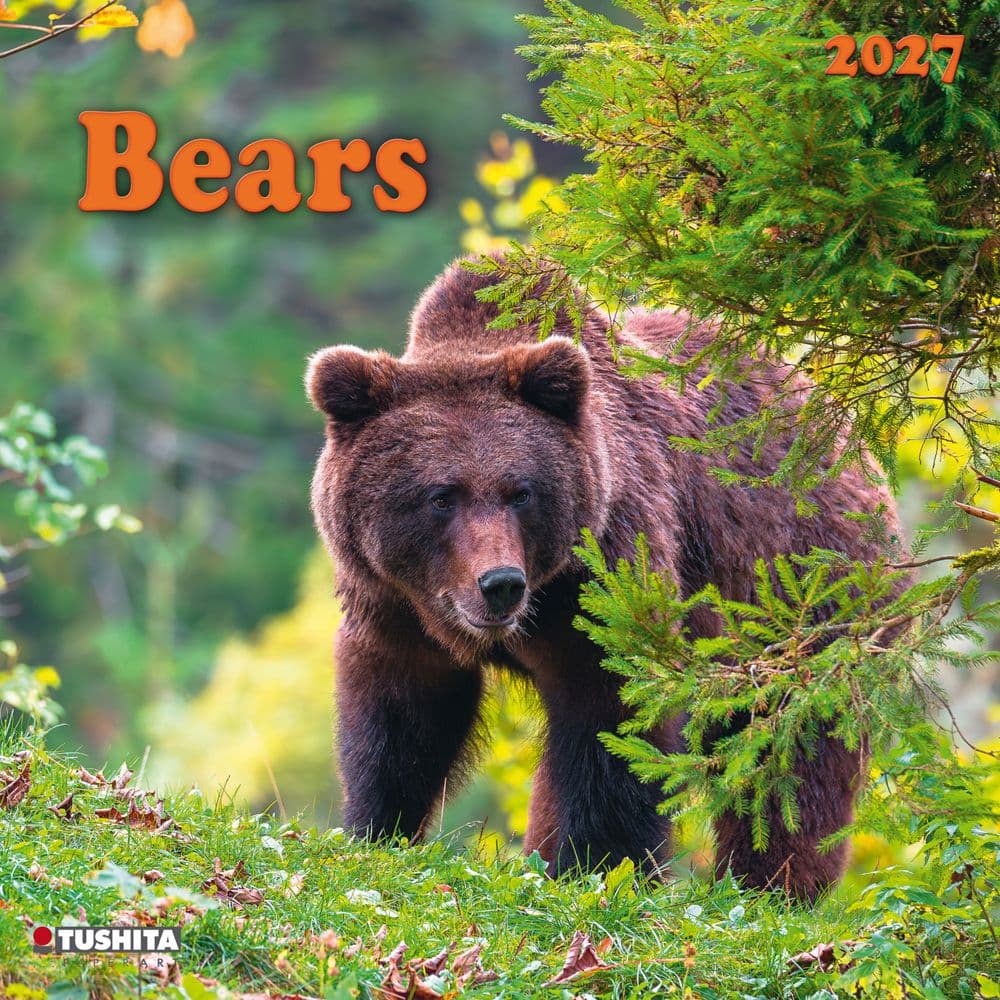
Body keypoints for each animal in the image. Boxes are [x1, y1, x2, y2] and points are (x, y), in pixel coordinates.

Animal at [306, 255, 903, 900]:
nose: (500, 583)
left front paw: (597, 862)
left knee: (790, 751)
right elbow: (400, 717)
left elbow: (611, 719)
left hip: (802, 597)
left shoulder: (613, 576)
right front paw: (377, 828)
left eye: (521, 492)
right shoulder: (394, 602)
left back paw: (770, 884)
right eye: (441, 496)